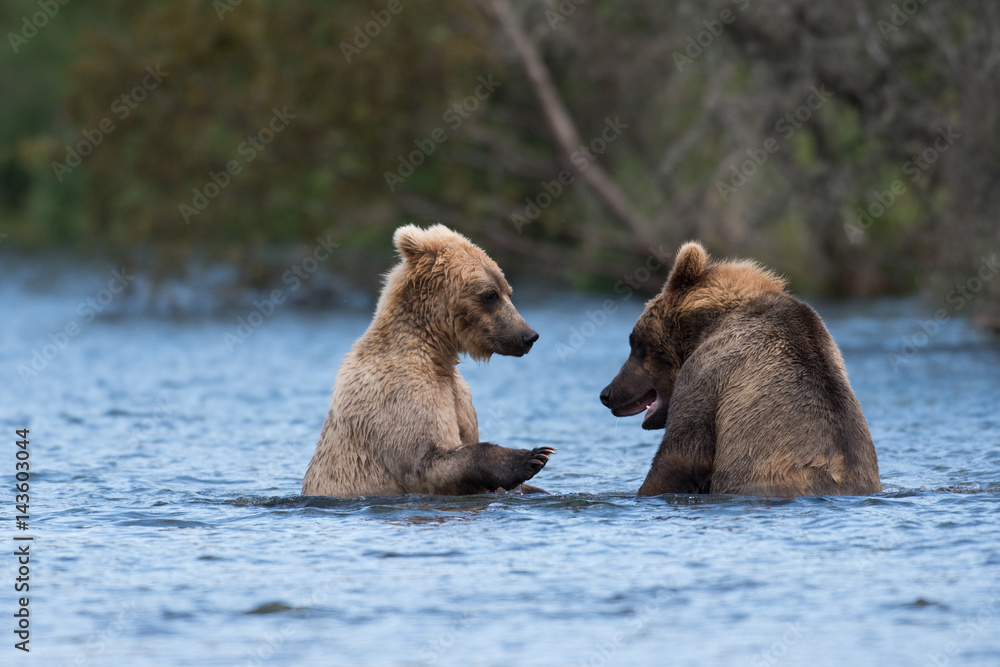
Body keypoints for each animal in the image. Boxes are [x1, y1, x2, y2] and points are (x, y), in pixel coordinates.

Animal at [302, 224, 554, 498]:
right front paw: (532, 457)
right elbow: (428, 461)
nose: (528, 335)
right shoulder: (400, 393)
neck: (437, 352)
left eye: (508, 291)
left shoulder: (459, 394)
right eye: (490, 294)